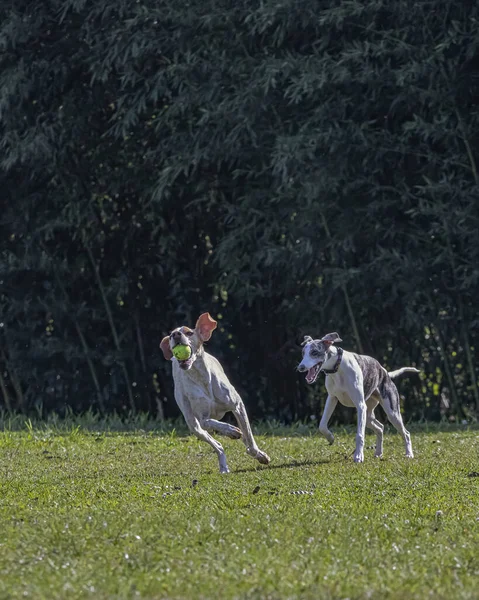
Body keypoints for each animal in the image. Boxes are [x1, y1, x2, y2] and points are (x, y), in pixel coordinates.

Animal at [160, 314, 270, 474]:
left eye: (189, 332)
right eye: (169, 335)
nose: (175, 335)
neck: (202, 378)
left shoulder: (237, 405)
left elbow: (249, 436)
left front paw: (259, 454)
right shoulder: (202, 417)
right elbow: (208, 422)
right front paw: (230, 430)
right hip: (193, 425)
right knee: (217, 444)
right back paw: (223, 466)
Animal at [298, 332, 418, 464]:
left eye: (314, 352)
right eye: (303, 353)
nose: (300, 367)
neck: (338, 367)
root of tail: (385, 372)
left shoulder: (360, 406)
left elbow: (360, 434)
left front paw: (359, 456)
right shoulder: (332, 399)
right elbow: (322, 425)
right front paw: (330, 438)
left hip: (391, 413)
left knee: (406, 433)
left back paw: (409, 454)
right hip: (369, 415)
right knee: (380, 427)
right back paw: (378, 452)